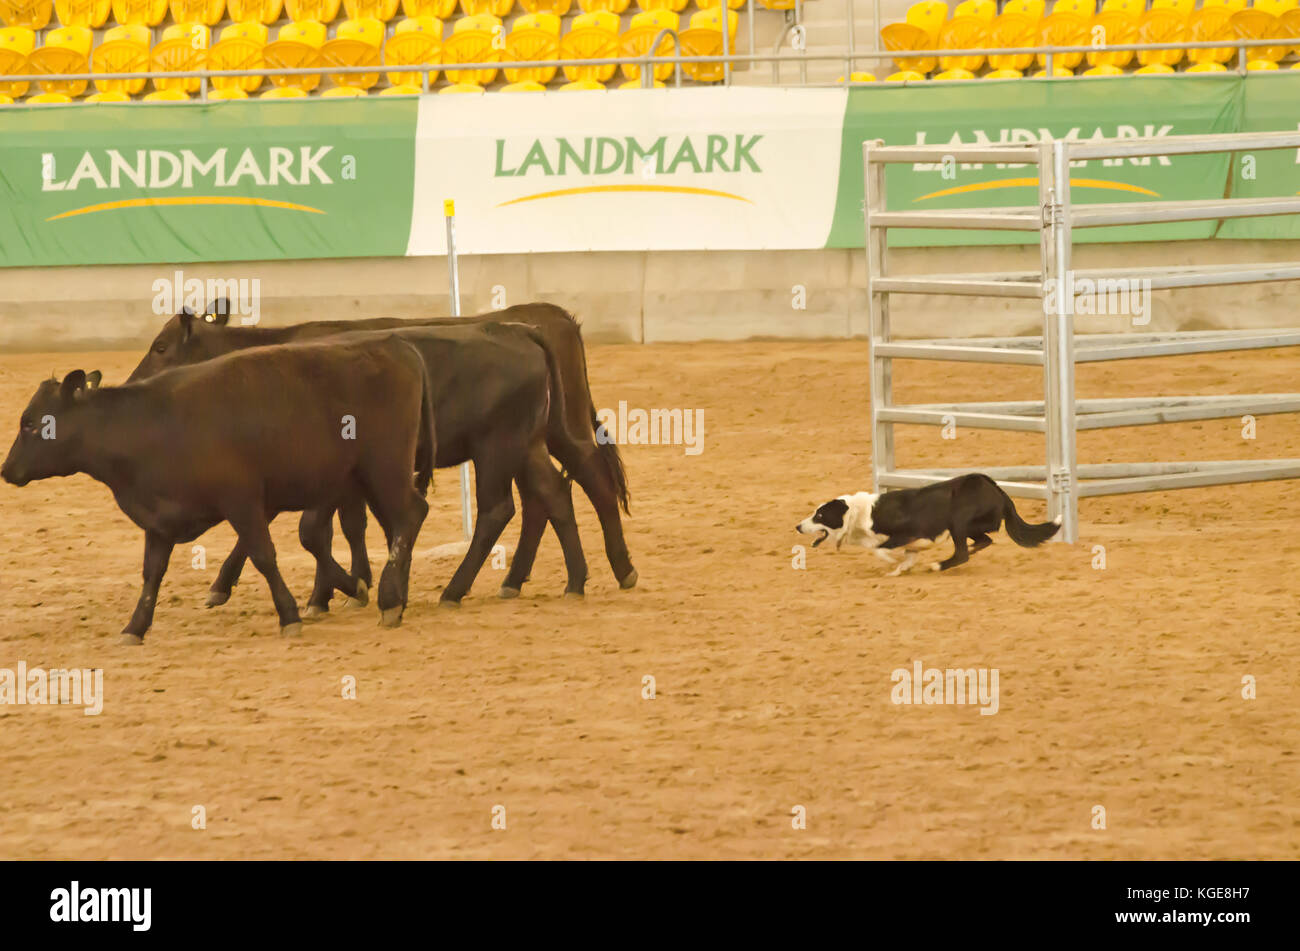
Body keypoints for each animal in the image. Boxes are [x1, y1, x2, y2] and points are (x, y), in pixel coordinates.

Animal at [0, 335, 436, 646]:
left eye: (32, 424)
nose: (6, 470)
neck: (149, 425)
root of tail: (396, 346)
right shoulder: (160, 521)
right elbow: (151, 574)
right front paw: (134, 627)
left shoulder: (241, 501)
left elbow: (264, 556)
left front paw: (289, 615)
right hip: (367, 480)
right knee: (398, 526)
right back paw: (395, 596)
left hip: (385, 469)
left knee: (411, 515)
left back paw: (390, 599)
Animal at [795, 472, 1060, 576]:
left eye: (819, 515)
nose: (798, 526)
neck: (859, 515)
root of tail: (994, 486)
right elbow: (906, 557)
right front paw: (898, 570)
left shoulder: (908, 533)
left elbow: (880, 549)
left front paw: (892, 561)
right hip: (970, 527)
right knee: (983, 541)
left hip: (958, 521)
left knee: (962, 553)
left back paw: (938, 565)